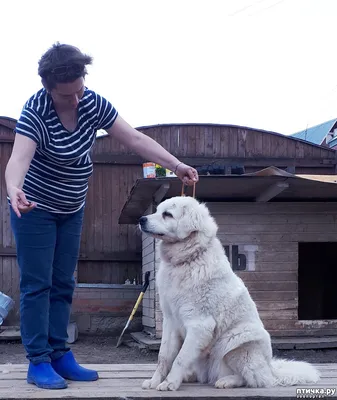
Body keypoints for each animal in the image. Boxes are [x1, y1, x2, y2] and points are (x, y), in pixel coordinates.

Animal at [138, 197, 318, 390]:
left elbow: (179, 358)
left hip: (236, 341)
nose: (141, 219)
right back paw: (190, 377)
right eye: (157, 211)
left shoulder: (200, 325)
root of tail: (271, 368)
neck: (187, 260)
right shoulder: (170, 321)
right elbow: (163, 357)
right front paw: (155, 381)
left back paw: (226, 381)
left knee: (254, 379)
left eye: (167, 214)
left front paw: (169, 383)